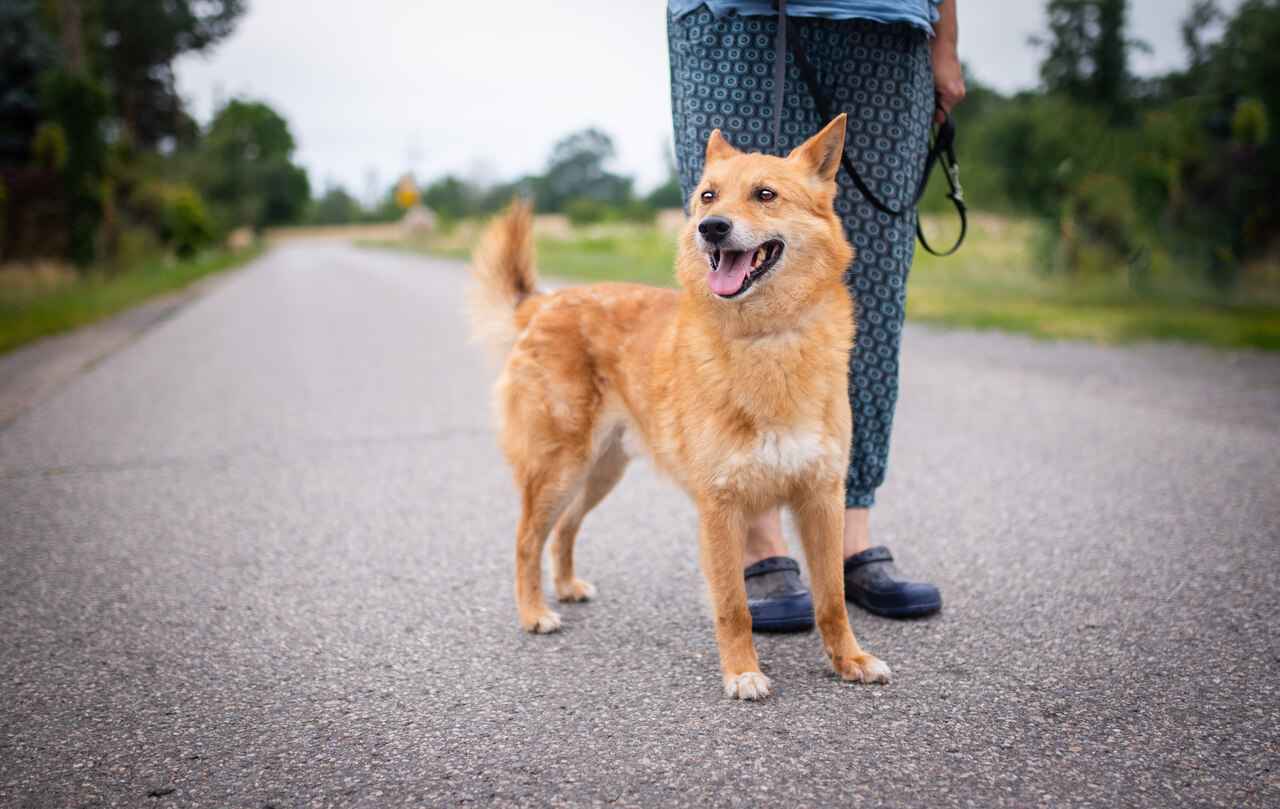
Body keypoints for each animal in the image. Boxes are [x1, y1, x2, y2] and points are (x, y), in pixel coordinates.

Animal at [468, 115, 890, 701]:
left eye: (765, 194)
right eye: (708, 195)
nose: (710, 228)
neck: (767, 339)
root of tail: (546, 303)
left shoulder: (822, 498)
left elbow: (833, 598)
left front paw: (850, 660)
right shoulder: (720, 507)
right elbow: (734, 607)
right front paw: (742, 672)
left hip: (600, 472)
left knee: (565, 529)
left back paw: (567, 586)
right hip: (559, 467)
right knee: (527, 539)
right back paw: (534, 612)